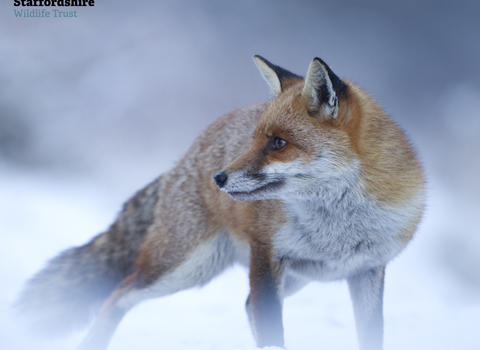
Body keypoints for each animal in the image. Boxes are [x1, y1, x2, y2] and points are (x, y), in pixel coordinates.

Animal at [15, 55, 424, 350]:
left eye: (278, 143)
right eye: (255, 139)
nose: (219, 179)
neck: (338, 227)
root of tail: (188, 153)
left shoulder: (368, 269)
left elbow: (371, 337)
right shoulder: (266, 256)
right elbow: (273, 336)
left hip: (292, 280)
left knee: (243, 305)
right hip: (181, 267)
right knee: (118, 295)